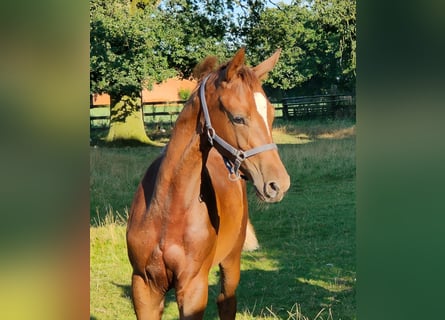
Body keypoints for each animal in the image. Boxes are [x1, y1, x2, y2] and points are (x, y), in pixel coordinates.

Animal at [126, 46, 290, 318]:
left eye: (271, 115)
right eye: (238, 118)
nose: (278, 184)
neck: (167, 209)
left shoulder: (194, 287)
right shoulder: (143, 287)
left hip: (232, 259)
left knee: (226, 300)